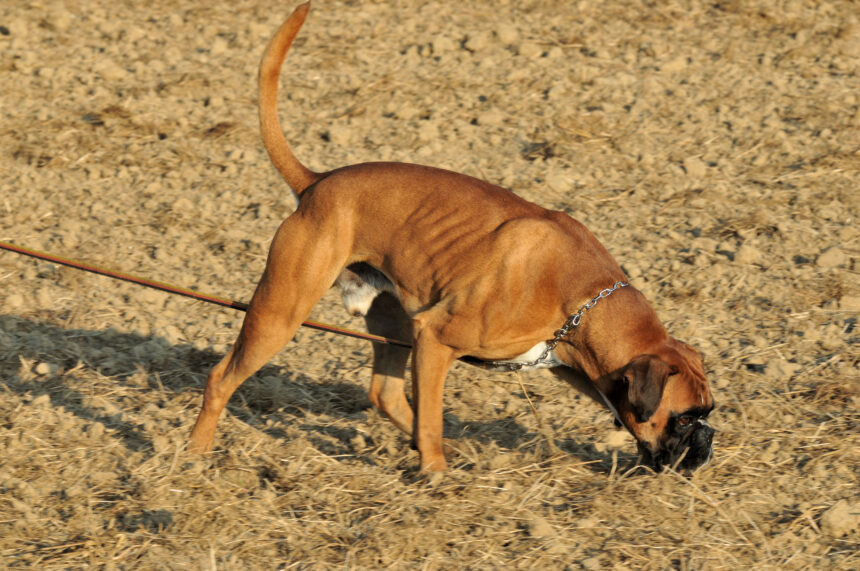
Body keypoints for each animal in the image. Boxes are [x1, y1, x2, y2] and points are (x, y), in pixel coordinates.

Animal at [190, 2, 720, 472]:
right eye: (684, 418)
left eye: (707, 413)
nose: (707, 444)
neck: (582, 298)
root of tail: (317, 182)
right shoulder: (436, 337)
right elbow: (430, 415)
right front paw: (435, 474)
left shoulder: (576, 368)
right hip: (282, 315)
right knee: (221, 377)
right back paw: (197, 454)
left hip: (393, 323)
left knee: (385, 393)